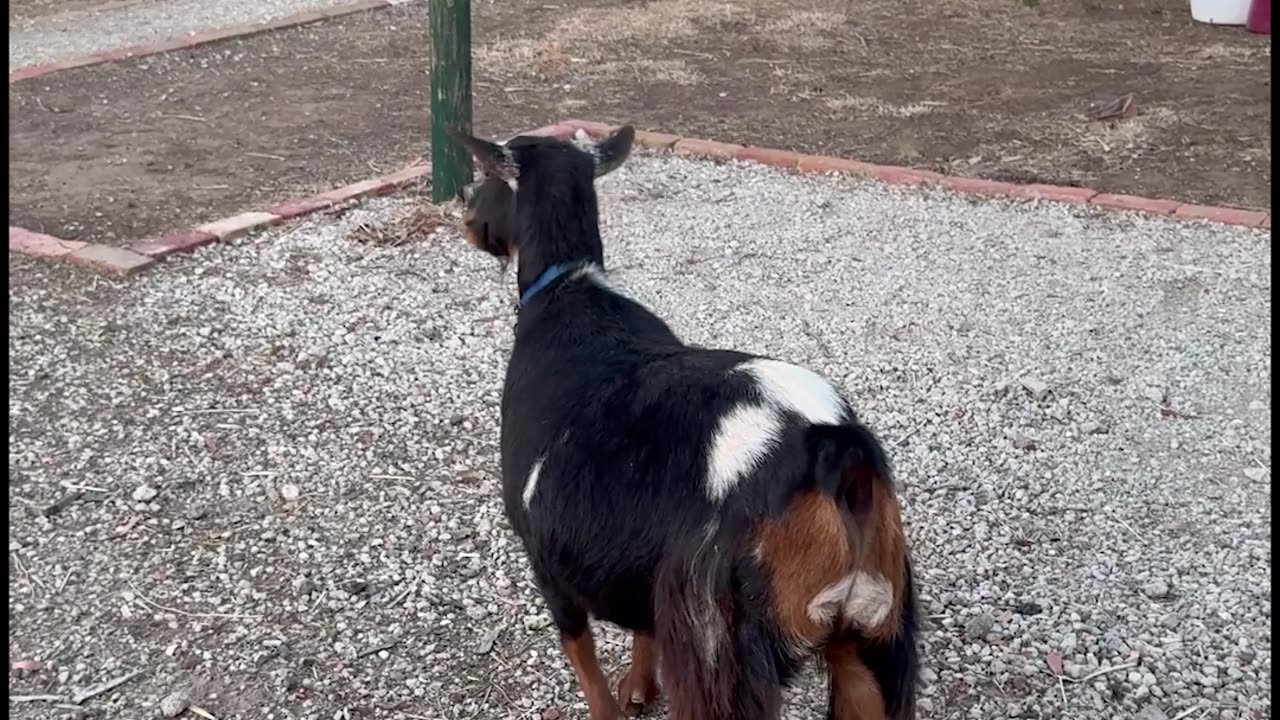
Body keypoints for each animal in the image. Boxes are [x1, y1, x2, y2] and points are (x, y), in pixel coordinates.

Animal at [450, 126, 921, 717]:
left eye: (490, 177)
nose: (465, 217)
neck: (569, 293)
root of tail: (833, 452)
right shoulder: (639, 568)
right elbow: (640, 628)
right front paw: (638, 688)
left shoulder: (550, 568)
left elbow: (583, 660)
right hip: (871, 645)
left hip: (719, 650)